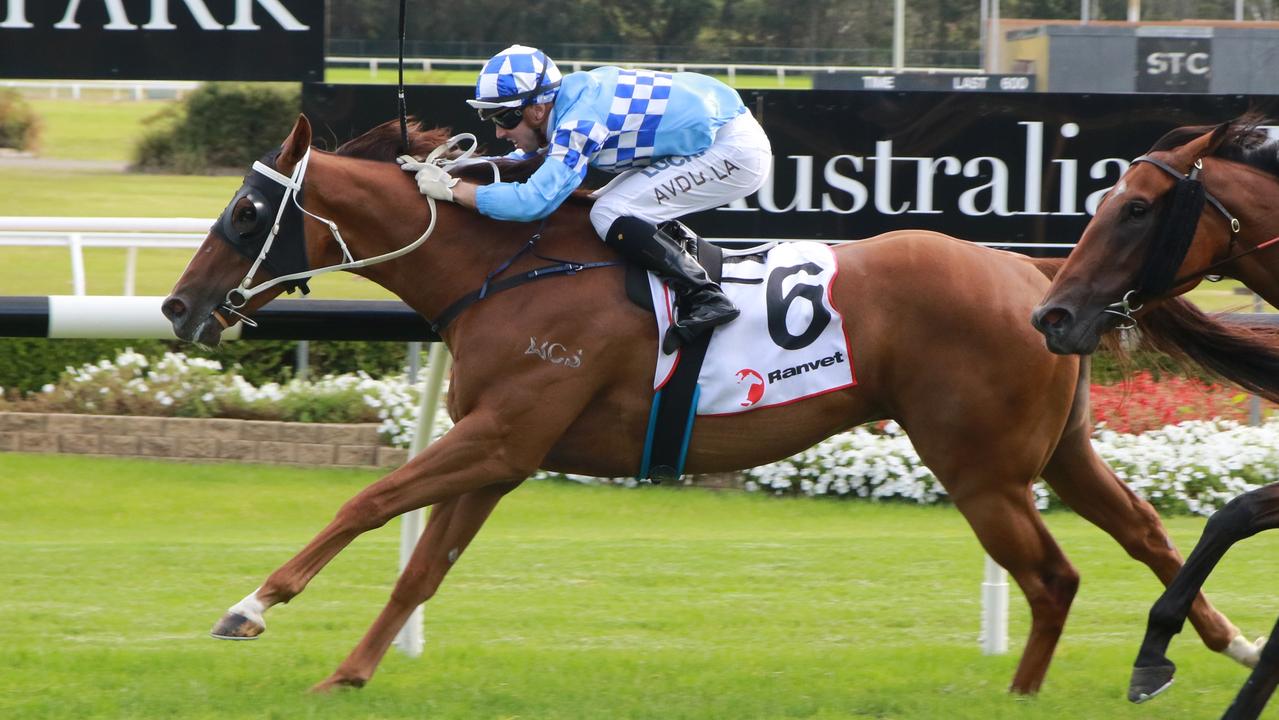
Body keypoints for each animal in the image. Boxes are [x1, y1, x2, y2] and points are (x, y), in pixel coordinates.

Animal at [157, 115, 1258, 695]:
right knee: (1143, 530)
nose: (178, 305)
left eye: (246, 213)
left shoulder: (501, 432)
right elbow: (423, 565)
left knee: (1052, 578)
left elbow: (369, 502)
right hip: (1056, 449)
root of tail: (1033, 278)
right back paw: (1222, 642)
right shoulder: (502, 451)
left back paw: (1027, 696)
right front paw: (350, 672)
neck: (509, 271)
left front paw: (251, 606)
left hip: (981, 468)